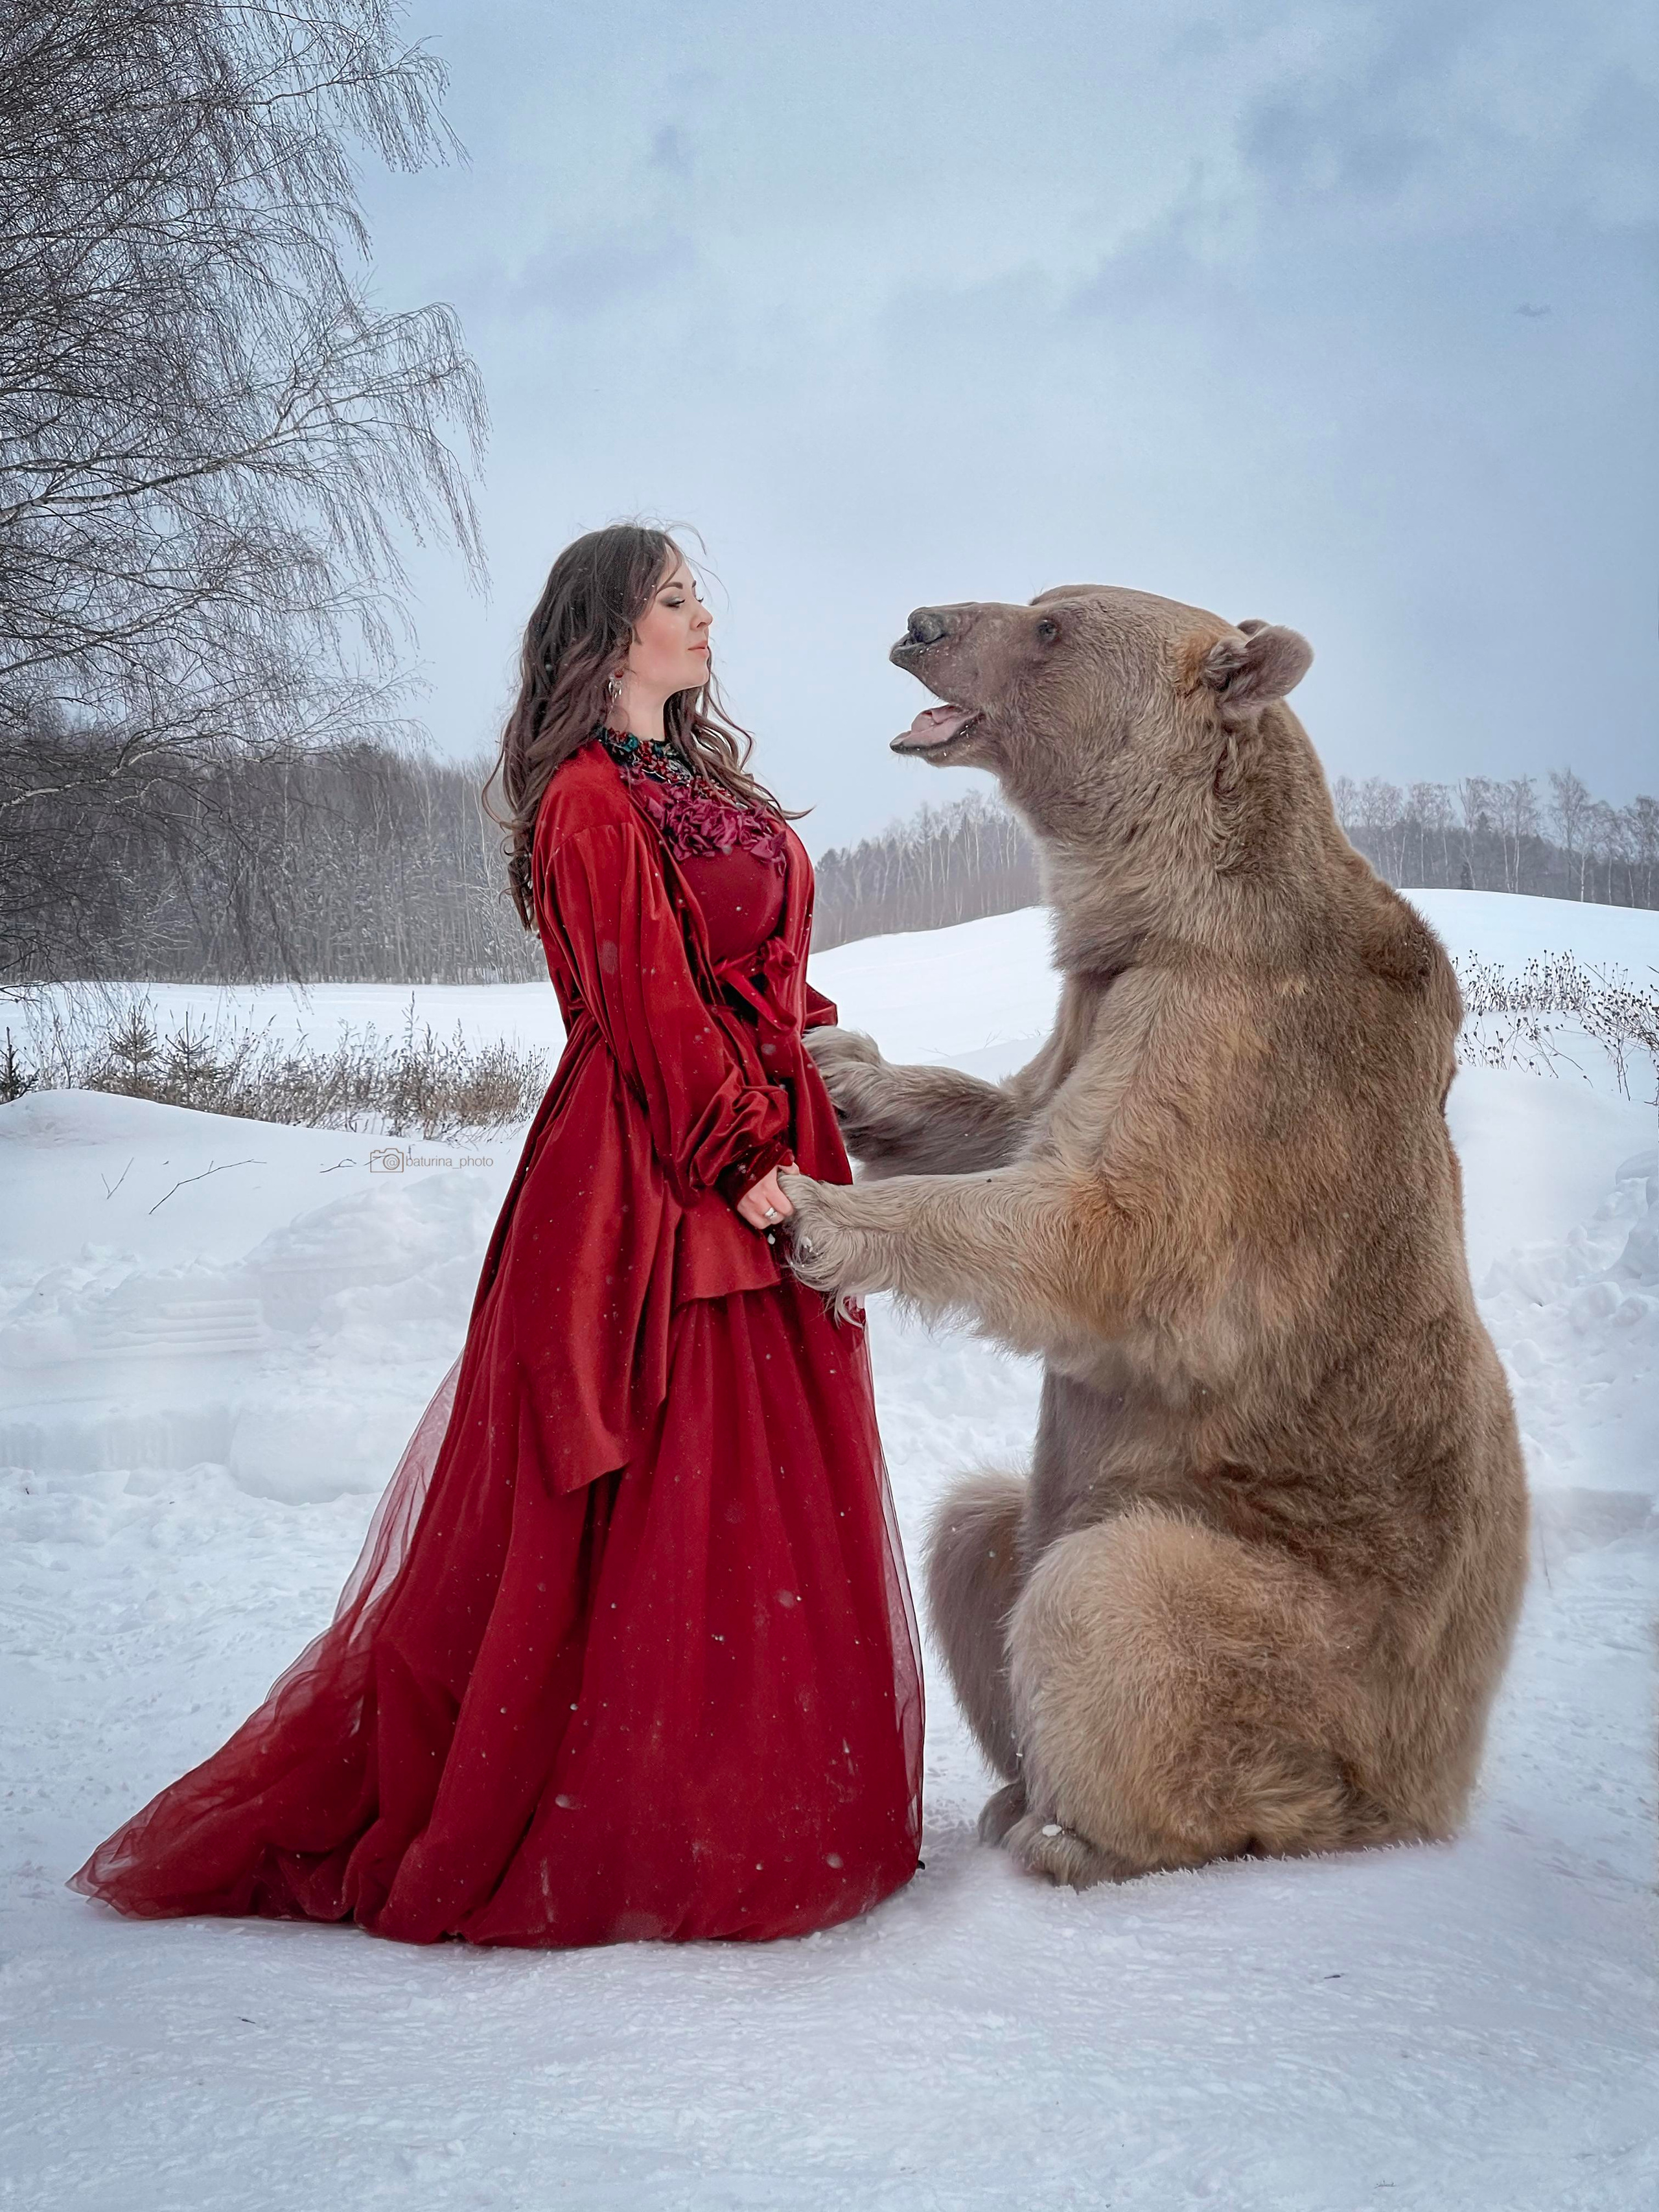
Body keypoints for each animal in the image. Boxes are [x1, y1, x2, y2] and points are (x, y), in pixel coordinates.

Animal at [780, 584, 1529, 1888]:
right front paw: (845, 1065)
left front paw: (814, 1212)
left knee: (1109, 1600)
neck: (1170, 902)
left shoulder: (1235, 1046)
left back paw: (1072, 1831)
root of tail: (1439, 1775)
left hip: (1306, 1628)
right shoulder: (1101, 1008)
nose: (923, 622)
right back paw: (1011, 1789)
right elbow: (1011, 1122)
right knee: (976, 1534)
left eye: (1052, 627)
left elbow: (1102, 1230)